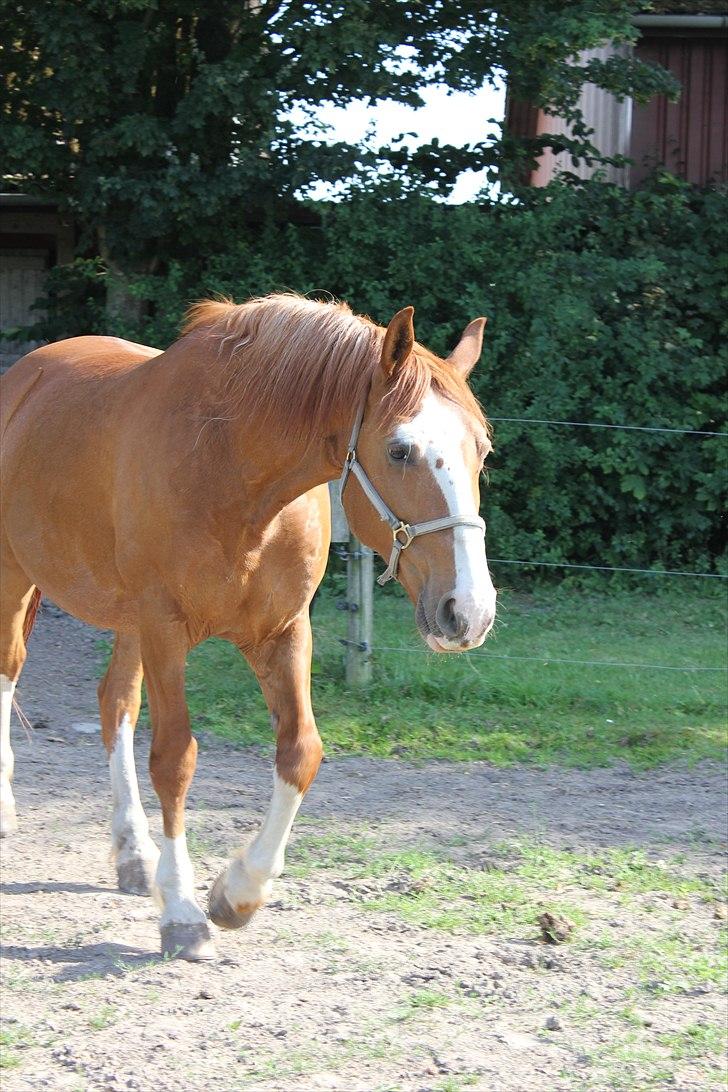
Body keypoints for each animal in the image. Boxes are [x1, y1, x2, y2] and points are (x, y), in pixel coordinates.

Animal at [0, 294, 495, 960]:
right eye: (399, 450)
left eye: (482, 451)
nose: (469, 611)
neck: (230, 467)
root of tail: (26, 375)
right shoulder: (165, 631)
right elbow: (174, 760)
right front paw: (182, 913)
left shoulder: (282, 632)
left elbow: (301, 751)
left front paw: (238, 892)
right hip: (18, 579)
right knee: (8, 674)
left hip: (128, 625)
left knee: (115, 704)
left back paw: (134, 854)